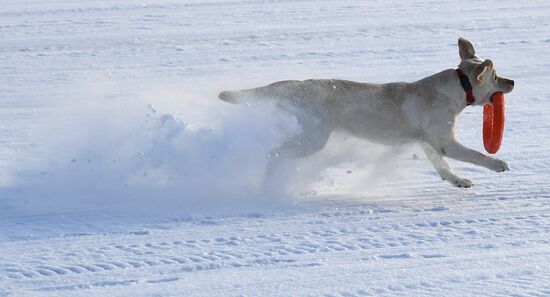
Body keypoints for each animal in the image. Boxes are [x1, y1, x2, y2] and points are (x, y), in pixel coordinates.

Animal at [220, 37, 516, 187]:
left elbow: (442, 166)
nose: (512, 82)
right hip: (314, 138)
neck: (458, 88)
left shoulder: (429, 141)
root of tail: (294, 85)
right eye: (496, 77)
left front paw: (457, 180)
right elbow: (476, 155)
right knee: (274, 153)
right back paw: (269, 182)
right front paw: (498, 164)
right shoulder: (446, 141)